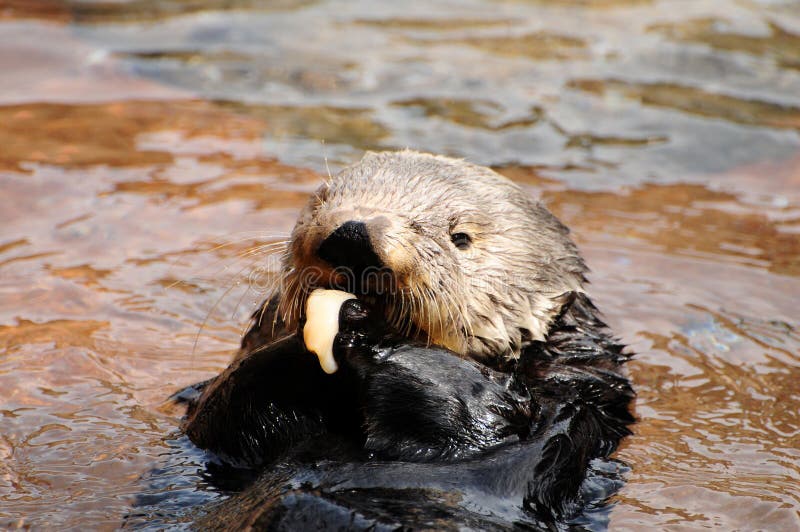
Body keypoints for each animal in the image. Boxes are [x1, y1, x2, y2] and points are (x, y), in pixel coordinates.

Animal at [178, 152, 636, 528]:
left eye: (460, 237)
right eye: (321, 199)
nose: (353, 235)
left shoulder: (574, 412)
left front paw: (375, 340)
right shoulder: (220, 440)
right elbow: (218, 418)